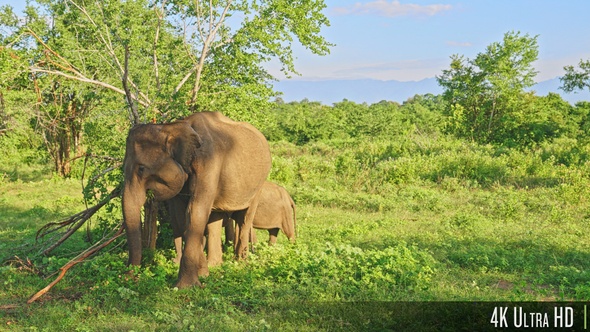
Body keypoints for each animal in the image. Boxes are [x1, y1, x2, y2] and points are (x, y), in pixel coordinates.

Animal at [126, 111, 274, 288]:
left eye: (141, 169)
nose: (131, 278)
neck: (174, 126)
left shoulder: (209, 163)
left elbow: (195, 210)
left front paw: (185, 287)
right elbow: (182, 217)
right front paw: (203, 275)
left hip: (259, 184)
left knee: (245, 219)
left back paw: (240, 263)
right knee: (215, 220)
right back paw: (215, 265)